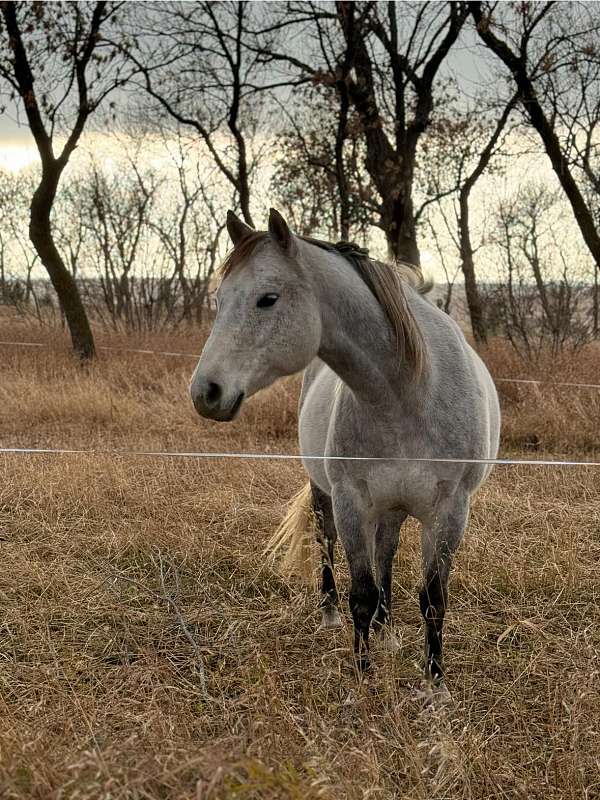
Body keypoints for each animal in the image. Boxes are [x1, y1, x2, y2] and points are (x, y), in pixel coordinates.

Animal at [190, 206, 500, 680]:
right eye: (220, 300)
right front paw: (363, 677)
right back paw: (331, 613)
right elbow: (362, 594)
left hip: (393, 507)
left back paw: (388, 632)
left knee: (386, 553)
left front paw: (435, 683)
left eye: (268, 298)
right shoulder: (350, 501)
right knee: (327, 542)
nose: (205, 392)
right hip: (328, 495)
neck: (409, 392)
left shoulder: (450, 511)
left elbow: (432, 600)